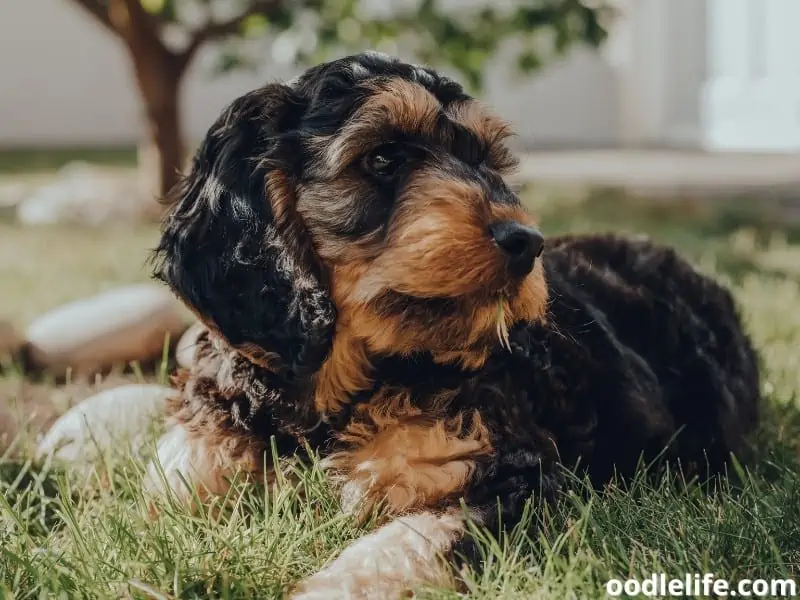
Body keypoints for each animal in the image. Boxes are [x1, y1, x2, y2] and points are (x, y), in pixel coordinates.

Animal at [142, 52, 756, 600]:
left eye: (486, 160)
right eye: (383, 158)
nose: (525, 242)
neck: (335, 391)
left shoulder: (510, 478)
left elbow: (407, 543)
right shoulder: (192, 458)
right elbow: (163, 505)